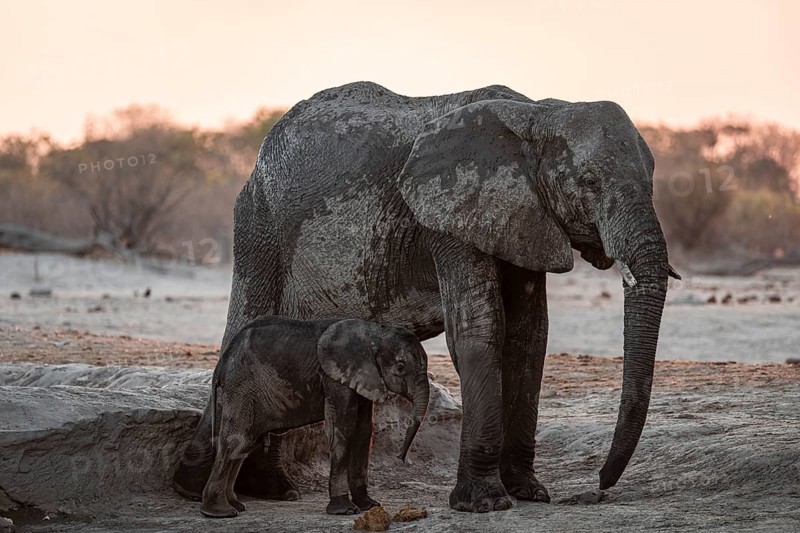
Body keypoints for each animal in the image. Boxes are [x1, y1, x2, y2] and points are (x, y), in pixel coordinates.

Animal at [198, 316, 430, 518]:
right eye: (400, 367)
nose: (400, 458)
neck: (375, 333)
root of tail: (222, 361)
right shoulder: (333, 375)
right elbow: (343, 426)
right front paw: (345, 510)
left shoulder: (361, 377)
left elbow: (364, 430)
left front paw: (369, 506)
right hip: (242, 386)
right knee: (235, 441)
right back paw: (220, 512)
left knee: (245, 444)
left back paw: (235, 505)